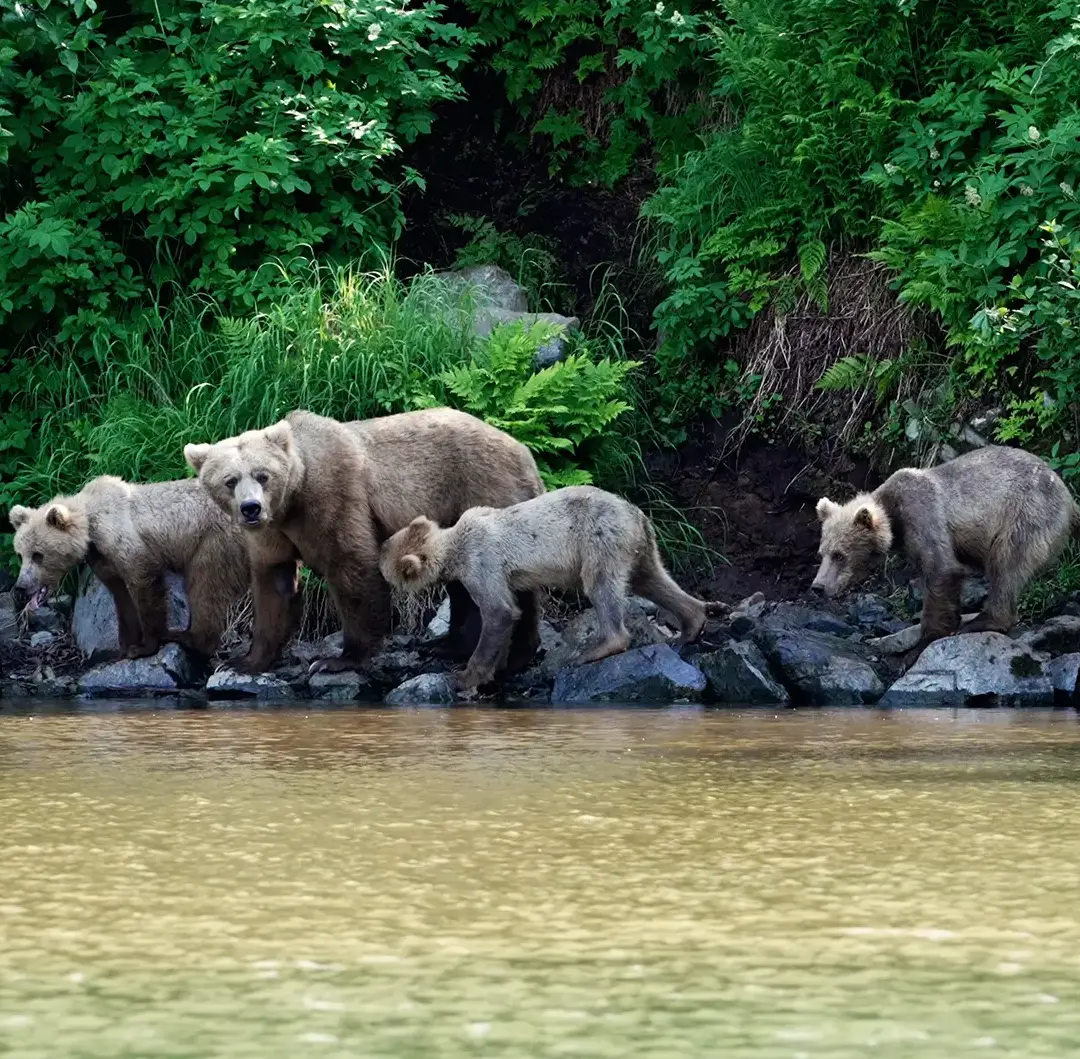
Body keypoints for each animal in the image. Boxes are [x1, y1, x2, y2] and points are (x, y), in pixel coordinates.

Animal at [9, 475, 250, 659]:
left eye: (38, 555)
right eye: (20, 554)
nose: (20, 587)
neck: (90, 530)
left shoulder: (125, 542)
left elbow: (145, 585)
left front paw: (144, 646)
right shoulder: (103, 559)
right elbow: (121, 596)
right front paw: (125, 646)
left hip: (214, 540)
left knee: (204, 585)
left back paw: (191, 638)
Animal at [183, 407, 546, 674]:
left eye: (262, 474)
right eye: (230, 480)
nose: (251, 508)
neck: (290, 504)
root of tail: (524, 451)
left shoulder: (333, 497)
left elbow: (351, 565)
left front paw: (335, 659)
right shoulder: (273, 534)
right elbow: (274, 584)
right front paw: (242, 662)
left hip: (484, 488)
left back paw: (517, 654)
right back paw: (448, 644)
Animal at [379, 485, 726, 690]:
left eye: (382, 559)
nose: (377, 548)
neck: (454, 547)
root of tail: (637, 514)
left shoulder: (482, 563)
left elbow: (498, 611)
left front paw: (463, 676)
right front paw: (502, 664)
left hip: (600, 538)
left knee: (601, 586)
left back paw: (598, 648)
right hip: (639, 546)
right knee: (654, 579)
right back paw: (691, 624)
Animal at [812, 445, 1080, 663]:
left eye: (839, 555)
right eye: (822, 553)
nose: (818, 587)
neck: (893, 518)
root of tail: (1068, 494)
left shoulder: (924, 517)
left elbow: (941, 572)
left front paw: (918, 647)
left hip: (1026, 515)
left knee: (1006, 566)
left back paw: (983, 620)